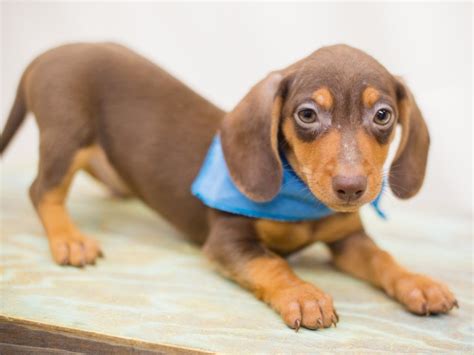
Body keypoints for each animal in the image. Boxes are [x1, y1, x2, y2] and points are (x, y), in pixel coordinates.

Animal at [1, 43, 458, 330]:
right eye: (307, 114)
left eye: (383, 115)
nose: (351, 188)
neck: (301, 196)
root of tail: (48, 54)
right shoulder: (228, 239)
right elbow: (272, 263)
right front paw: (303, 294)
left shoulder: (348, 239)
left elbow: (382, 259)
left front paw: (418, 283)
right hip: (67, 134)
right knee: (42, 190)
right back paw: (69, 238)